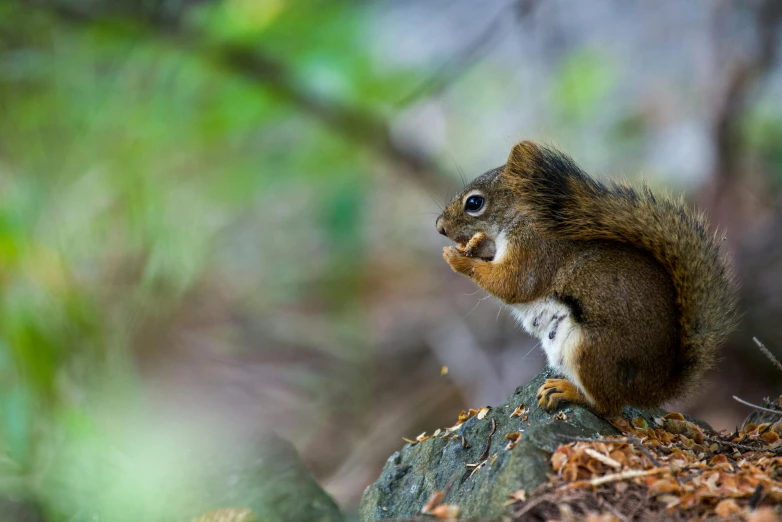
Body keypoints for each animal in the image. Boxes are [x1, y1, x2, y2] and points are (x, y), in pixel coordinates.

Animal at [434, 139, 740, 414]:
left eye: (474, 203)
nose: (439, 228)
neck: (523, 219)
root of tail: (654, 389)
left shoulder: (535, 250)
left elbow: (514, 284)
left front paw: (458, 259)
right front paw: (470, 249)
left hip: (592, 350)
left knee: (609, 407)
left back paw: (566, 392)